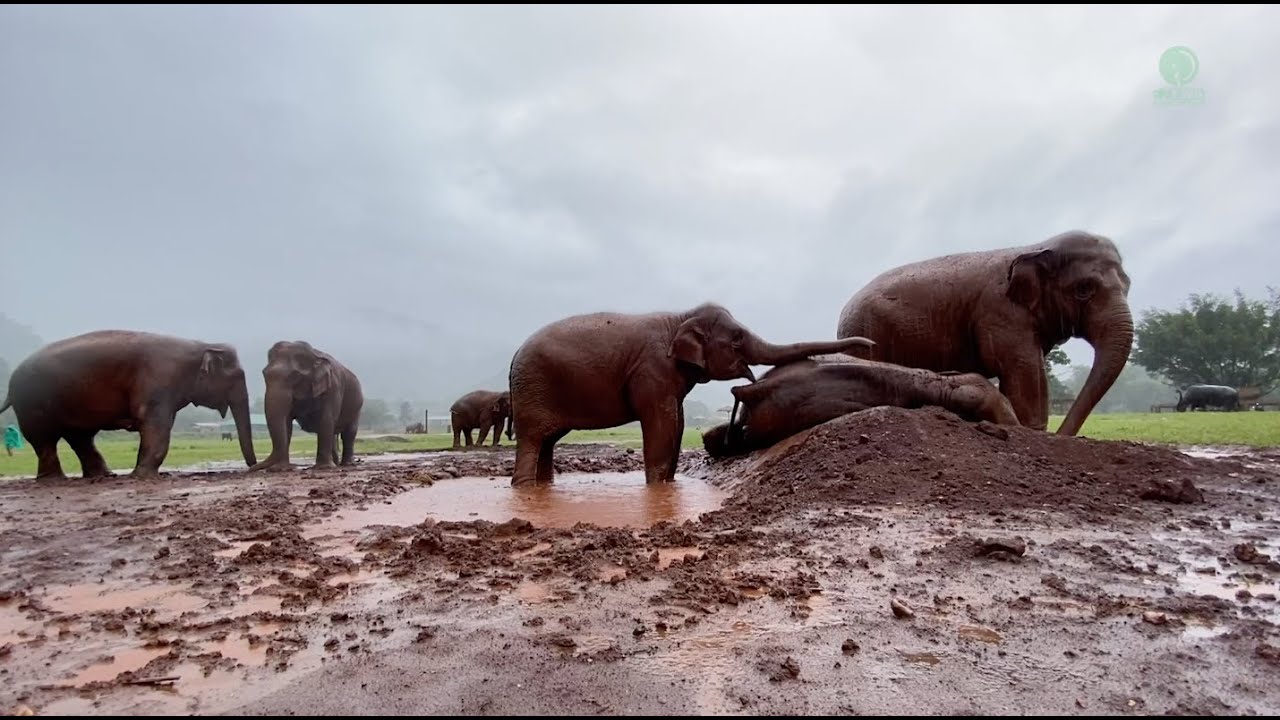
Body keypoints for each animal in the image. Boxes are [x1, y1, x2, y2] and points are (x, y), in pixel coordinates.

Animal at [0, 330, 256, 480]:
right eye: (237, 376)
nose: (252, 467)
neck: (201, 344)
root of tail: (10, 385)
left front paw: (139, 474)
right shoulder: (159, 381)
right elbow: (157, 426)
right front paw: (143, 476)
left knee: (80, 438)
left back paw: (104, 476)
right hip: (31, 405)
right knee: (45, 441)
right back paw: (55, 480)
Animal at [248, 341, 363, 472]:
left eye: (295, 376)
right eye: (264, 374)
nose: (251, 467)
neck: (314, 355)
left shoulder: (334, 387)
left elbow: (326, 419)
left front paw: (323, 468)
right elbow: (286, 423)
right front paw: (280, 469)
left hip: (357, 407)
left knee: (349, 433)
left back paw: (346, 464)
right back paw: (336, 463)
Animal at [507, 302, 875, 485]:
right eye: (737, 338)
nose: (870, 344)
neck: (681, 317)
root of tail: (513, 357)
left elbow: (679, 422)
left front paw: (669, 486)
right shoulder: (652, 370)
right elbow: (661, 423)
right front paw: (657, 489)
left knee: (548, 442)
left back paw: (542, 487)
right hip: (533, 390)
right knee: (533, 440)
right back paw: (524, 488)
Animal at [836, 230, 1132, 436]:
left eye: (1128, 284)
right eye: (1084, 289)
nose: (1062, 435)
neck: (1033, 247)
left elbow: (1029, 370)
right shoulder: (999, 312)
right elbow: (1023, 368)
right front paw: (1029, 431)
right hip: (866, 332)